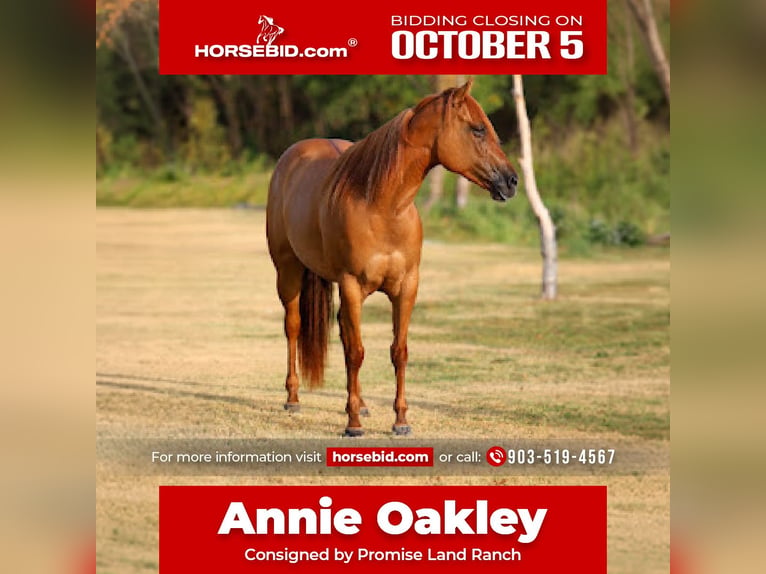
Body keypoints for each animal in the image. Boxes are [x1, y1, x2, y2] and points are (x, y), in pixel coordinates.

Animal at [266, 79, 518, 436]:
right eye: (478, 129)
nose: (511, 182)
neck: (382, 206)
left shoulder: (406, 287)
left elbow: (398, 351)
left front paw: (399, 420)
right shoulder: (352, 286)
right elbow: (356, 353)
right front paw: (353, 425)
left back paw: (361, 404)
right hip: (287, 271)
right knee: (293, 327)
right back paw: (293, 399)